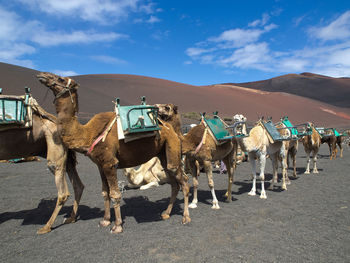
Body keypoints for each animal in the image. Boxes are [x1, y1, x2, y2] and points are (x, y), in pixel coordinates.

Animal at [37, 72, 191, 235]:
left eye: (60, 78)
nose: (42, 75)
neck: (88, 134)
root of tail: (172, 130)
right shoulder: (100, 164)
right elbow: (105, 192)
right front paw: (105, 221)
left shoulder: (110, 163)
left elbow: (115, 193)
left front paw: (117, 226)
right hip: (163, 155)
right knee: (174, 184)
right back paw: (166, 213)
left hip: (172, 148)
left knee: (184, 183)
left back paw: (186, 217)